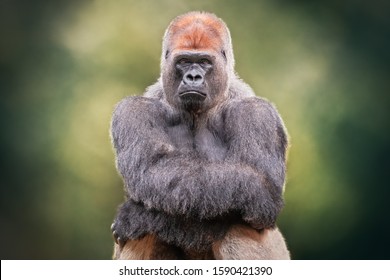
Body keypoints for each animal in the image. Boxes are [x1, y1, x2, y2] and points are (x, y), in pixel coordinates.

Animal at [109, 11, 290, 260]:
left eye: (204, 62)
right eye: (184, 61)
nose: (193, 76)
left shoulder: (257, 113)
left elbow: (260, 192)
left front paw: (137, 218)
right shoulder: (132, 110)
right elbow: (151, 167)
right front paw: (139, 217)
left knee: (240, 223)